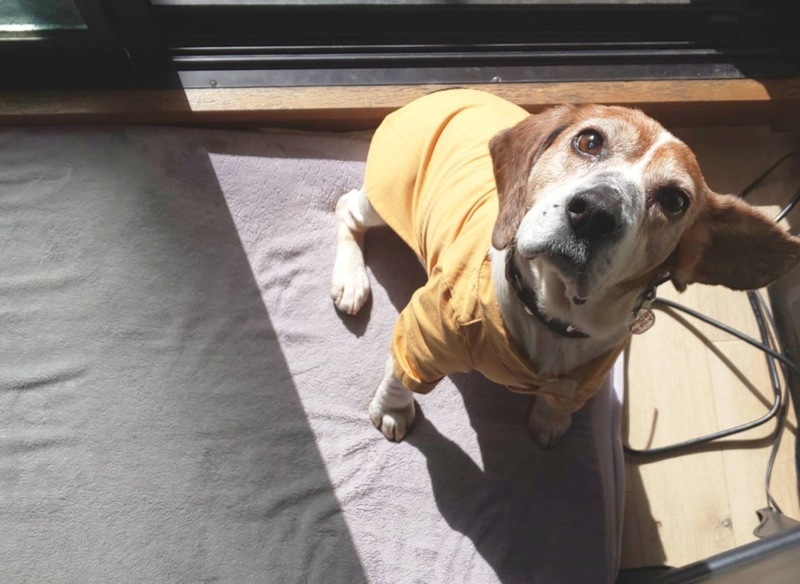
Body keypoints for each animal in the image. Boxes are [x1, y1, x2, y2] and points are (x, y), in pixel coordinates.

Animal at [330, 89, 800, 448]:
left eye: (674, 200)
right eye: (589, 141)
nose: (595, 212)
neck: (551, 315)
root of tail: (434, 95)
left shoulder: (587, 377)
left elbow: (560, 401)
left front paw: (550, 421)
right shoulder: (425, 333)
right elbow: (401, 372)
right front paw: (393, 409)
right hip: (383, 200)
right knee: (347, 208)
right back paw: (351, 281)